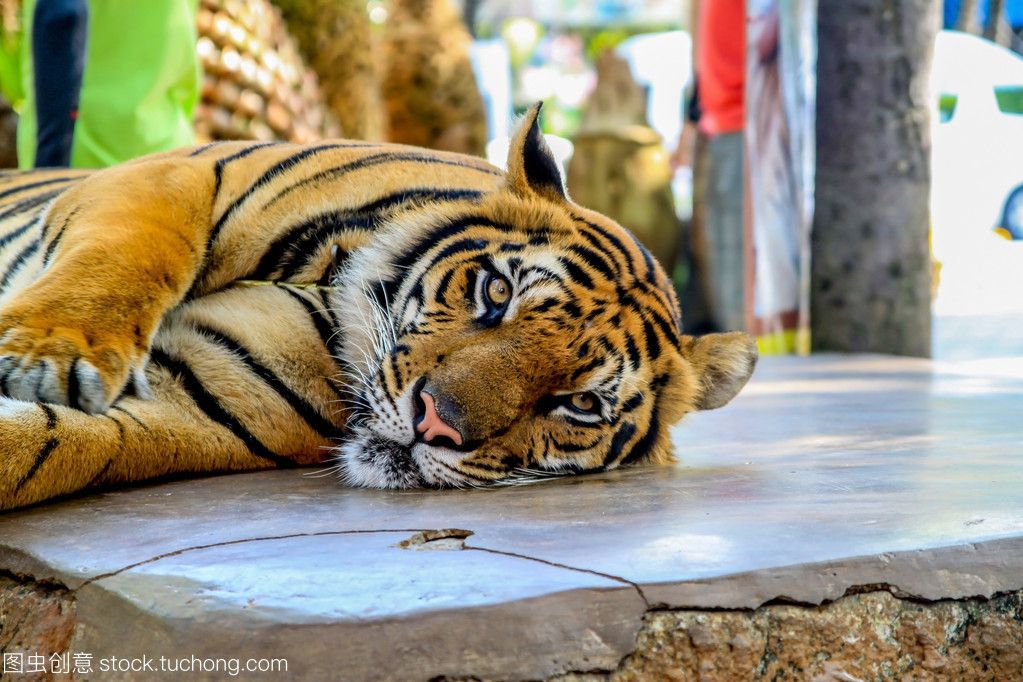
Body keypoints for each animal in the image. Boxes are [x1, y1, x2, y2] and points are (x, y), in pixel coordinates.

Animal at [0, 105, 757, 511]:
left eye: (581, 404)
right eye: (497, 292)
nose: (434, 425)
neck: (336, 297)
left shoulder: (192, 399)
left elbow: (53, 447)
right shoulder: (178, 172)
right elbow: (124, 253)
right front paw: (50, 351)